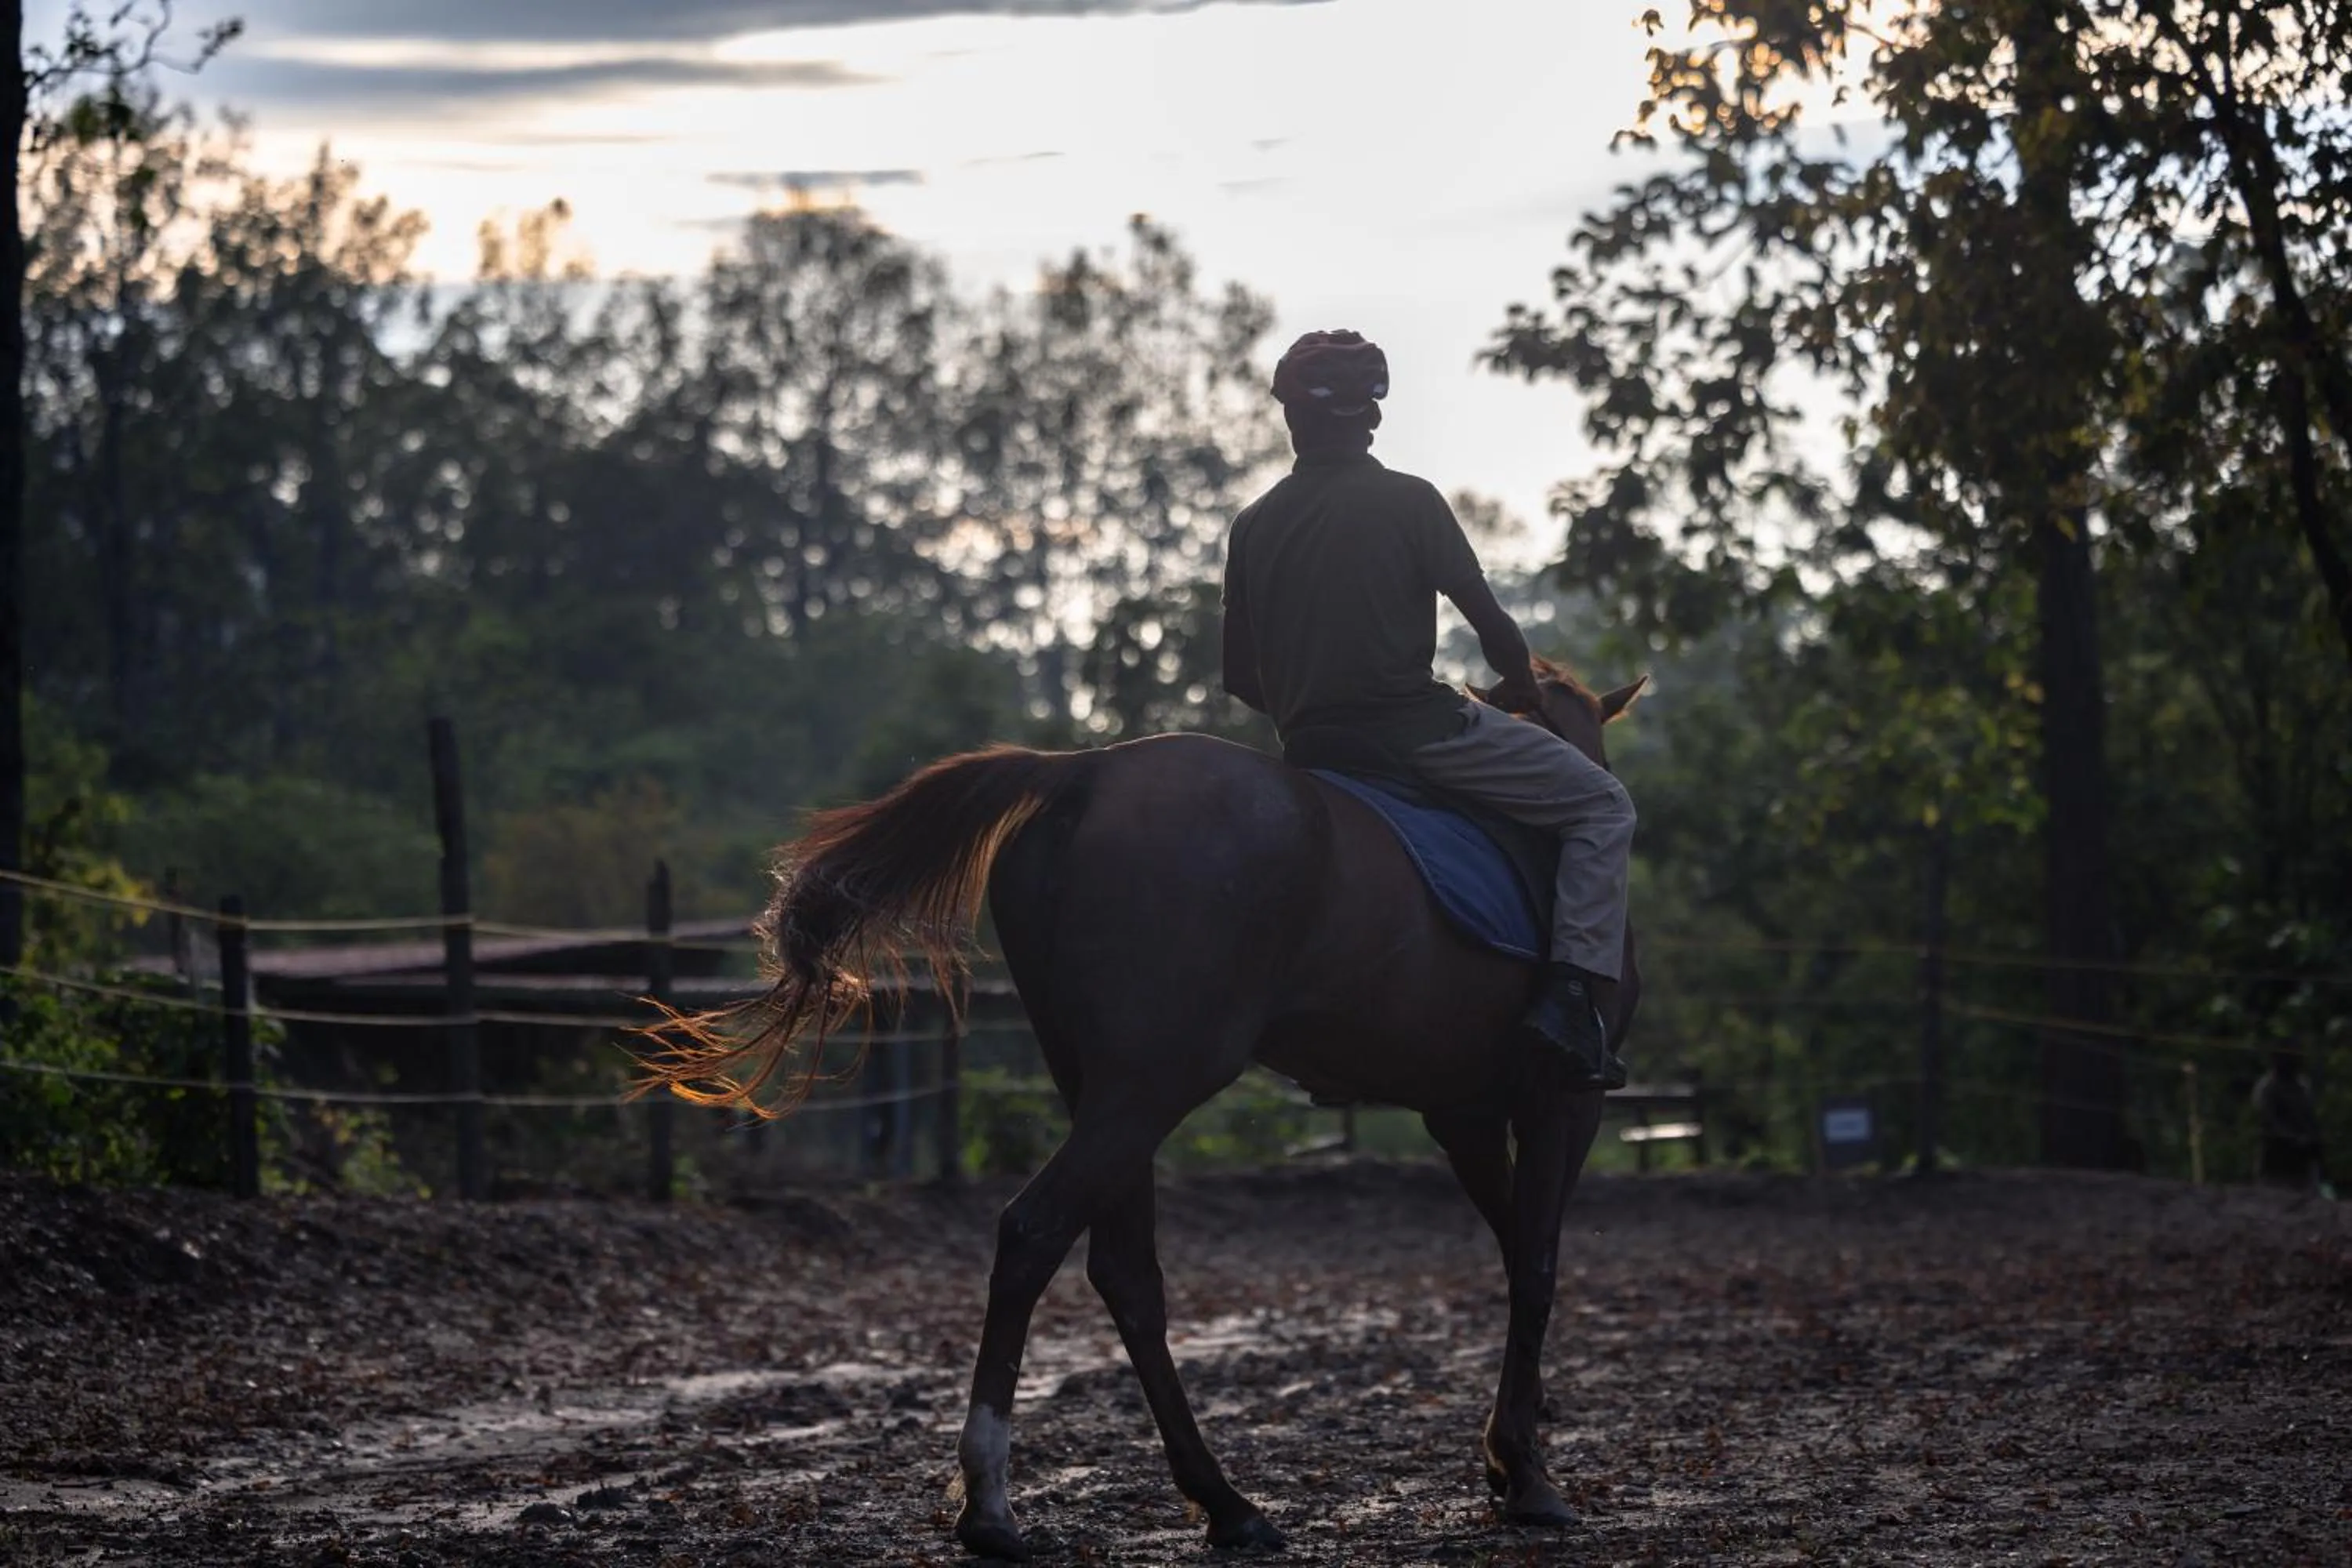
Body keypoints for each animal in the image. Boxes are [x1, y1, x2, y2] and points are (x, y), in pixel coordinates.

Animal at [639, 662, 1645, 1560]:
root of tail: (1084, 770)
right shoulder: (1562, 1102)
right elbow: (1539, 1263)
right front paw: (1526, 1470)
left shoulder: (1462, 1112)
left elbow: (1516, 1248)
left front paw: (1512, 1449)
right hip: (1155, 1080)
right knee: (1035, 1231)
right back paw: (994, 1504)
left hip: (1110, 1084)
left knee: (1125, 1272)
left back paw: (1224, 1501)